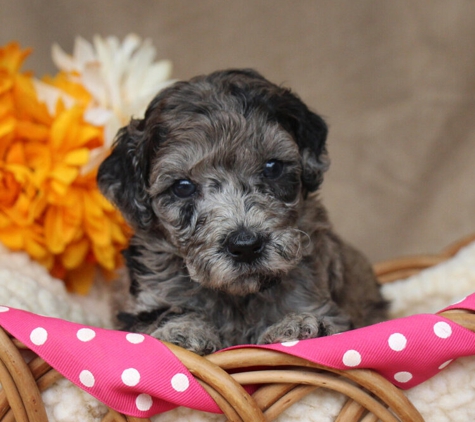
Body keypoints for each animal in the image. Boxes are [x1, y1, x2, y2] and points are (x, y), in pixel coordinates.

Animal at [96, 67, 386, 354]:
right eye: (182, 187)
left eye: (272, 168)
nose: (246, 246)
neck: (238, 295)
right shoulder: (145, 299)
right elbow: (165, 314)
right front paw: (184, 332)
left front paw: (295, 326)